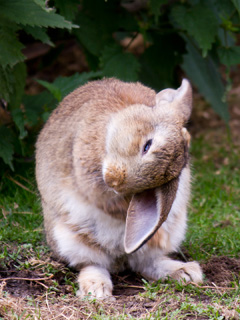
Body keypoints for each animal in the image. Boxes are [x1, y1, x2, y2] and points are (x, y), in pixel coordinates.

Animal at [35, 77, 202, 300]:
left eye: (155, 183)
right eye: (147, 145)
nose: (114, 180)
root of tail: (120, 259)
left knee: (146, 263)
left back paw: (186, 272)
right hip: (69, 238)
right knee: (92, 263)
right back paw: (97, 290)